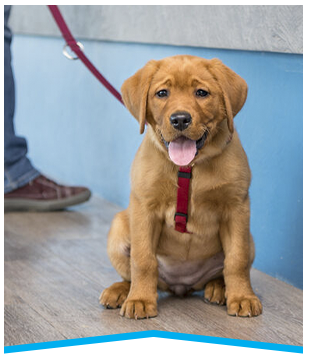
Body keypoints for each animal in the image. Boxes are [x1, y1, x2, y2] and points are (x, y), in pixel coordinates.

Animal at [100, 54, 262, 320]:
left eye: (201, 93)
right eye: (162, 93)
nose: (180, 119)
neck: (189, 167)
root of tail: (181, 285)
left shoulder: (236, 208)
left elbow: (236, 260)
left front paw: (242, 297)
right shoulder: (144, 208)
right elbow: (142, 260)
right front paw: (140, 300)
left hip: (250, 240)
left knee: (224, 269)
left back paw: (219, 288)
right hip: (118, 228)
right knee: (133, 273)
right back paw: (122, 290)